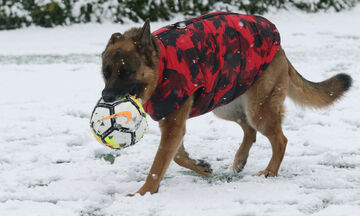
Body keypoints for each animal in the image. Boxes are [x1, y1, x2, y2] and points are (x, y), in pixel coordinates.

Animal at [100, 12, 352, 196]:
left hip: (257, 109)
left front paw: (141, 194)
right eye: (106, 72)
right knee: (250, 131)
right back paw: (240, 160)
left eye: (125, 72)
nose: (106, 96)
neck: (162, 66)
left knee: (280, 140)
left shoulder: (173, 124)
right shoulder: (171, 122)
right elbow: (177, 156)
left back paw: (270, 171)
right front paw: (200, 166)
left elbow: (157, 165)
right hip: (224, 102)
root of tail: (280, 49)